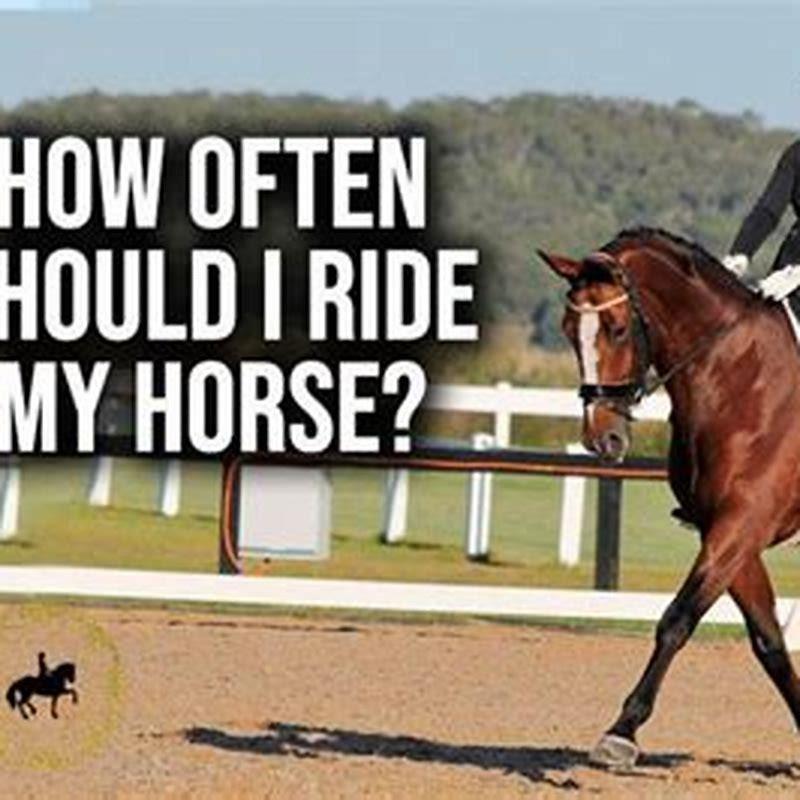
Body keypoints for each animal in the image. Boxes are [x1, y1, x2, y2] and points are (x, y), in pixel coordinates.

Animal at [539, 227, 800, 769]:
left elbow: (676, 620)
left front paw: (621, 733)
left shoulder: (741, 526)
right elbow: (768, 641)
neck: (741, 378)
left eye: (618, 328)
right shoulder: (729, 533)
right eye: (569, 329)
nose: (602, 439)